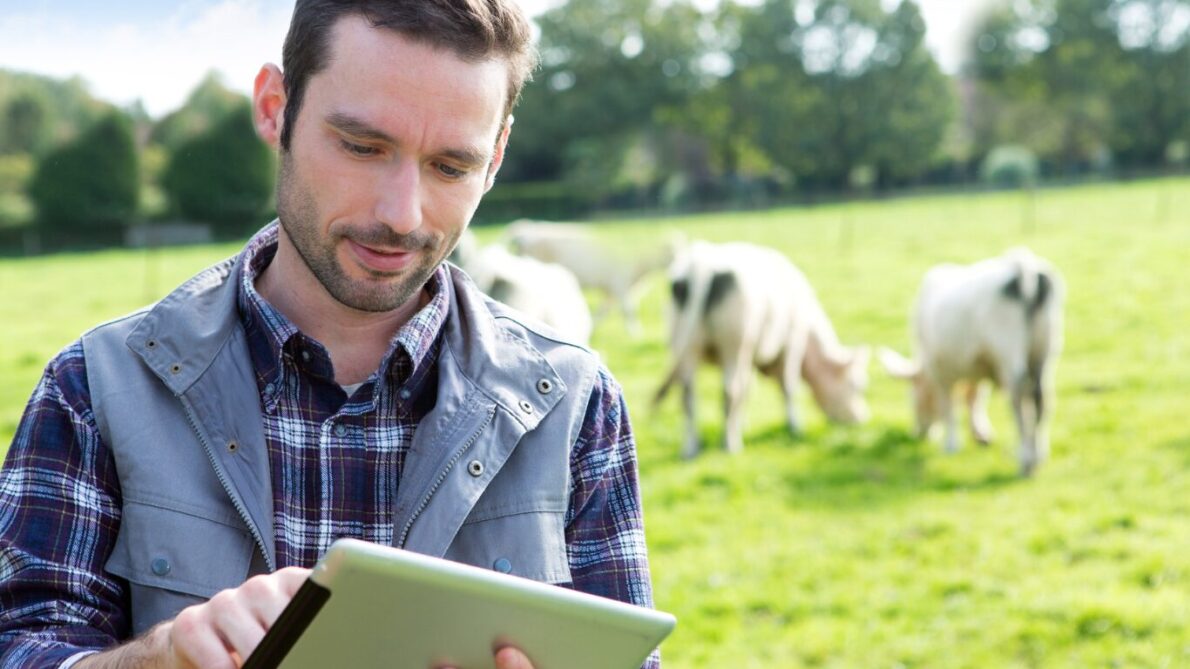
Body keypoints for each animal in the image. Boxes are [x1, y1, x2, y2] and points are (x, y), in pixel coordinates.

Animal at [499, 220, 680, 335]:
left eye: (679, 250)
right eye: (669, 254)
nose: (677, 274)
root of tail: (525, 232)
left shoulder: (611, 291)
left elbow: (603, 311)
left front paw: (593, 327)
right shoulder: (620, 284)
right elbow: (628, 310)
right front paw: (635, 334)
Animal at [656, 240, 871, 457]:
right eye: (857, 386)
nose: (861, 419)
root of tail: (700, 265)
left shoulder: (750, 354)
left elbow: (748, 388)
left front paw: (742, 423)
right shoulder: (792, 341)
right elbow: (788, 385)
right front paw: (794, 426)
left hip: (686, 344)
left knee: (687, 394)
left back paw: (691, 447)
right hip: (732, 342)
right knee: (729, 390)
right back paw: (730, 444)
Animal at [880, 248, 1066, 473]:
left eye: (913, 397)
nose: (920, 434)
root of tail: (1023, 266)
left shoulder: (940, 371)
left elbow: (949, 406)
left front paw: (952, 444)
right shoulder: (978, 362)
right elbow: (974, 397)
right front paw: (981, 435)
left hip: (1007, 346)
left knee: (1019, 397)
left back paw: (1026, 461)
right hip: (1044, 347)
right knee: (1041, 396)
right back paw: (1040, 455)